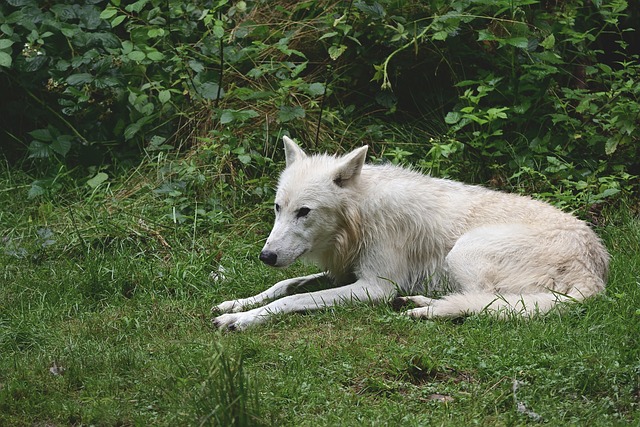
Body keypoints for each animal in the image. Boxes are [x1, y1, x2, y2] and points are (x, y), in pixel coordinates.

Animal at [211, 137, 608, 332]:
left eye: (304, 212)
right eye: (278, 208)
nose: (265, 256)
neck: (360, 216)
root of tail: (594, 268)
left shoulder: (375, 287)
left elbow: (292, 299)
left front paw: (242, 320)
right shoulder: (346, 271)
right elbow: (285, 284)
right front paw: (236, 303)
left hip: (463, 252)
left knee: (485, 302)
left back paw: (423, 311)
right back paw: (416, 303)